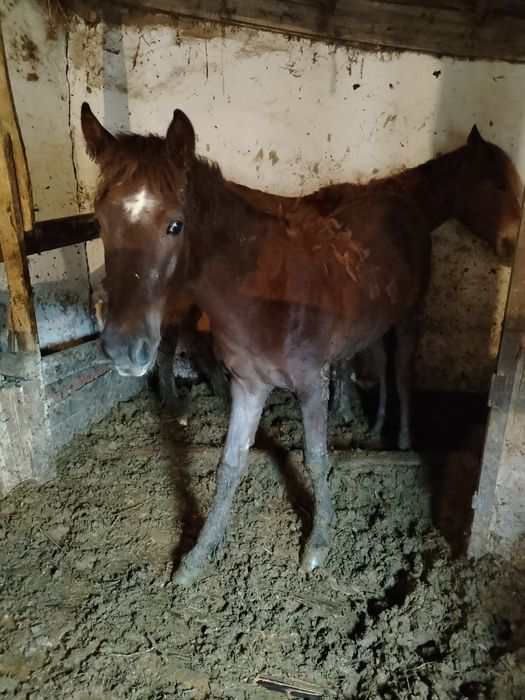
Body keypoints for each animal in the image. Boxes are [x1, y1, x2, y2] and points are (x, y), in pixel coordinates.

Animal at [81, 103, 521, 585]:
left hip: (407, 316)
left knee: (403, 369)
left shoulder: (311, 383)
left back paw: (402, 439)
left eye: (175, 225)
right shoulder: (249, 385)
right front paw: (199, 554)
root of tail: (399, 203)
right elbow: (229, 465)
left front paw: (319, 542)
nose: (123, 348)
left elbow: (316, 457)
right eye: (99, 223)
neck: (258, 294)